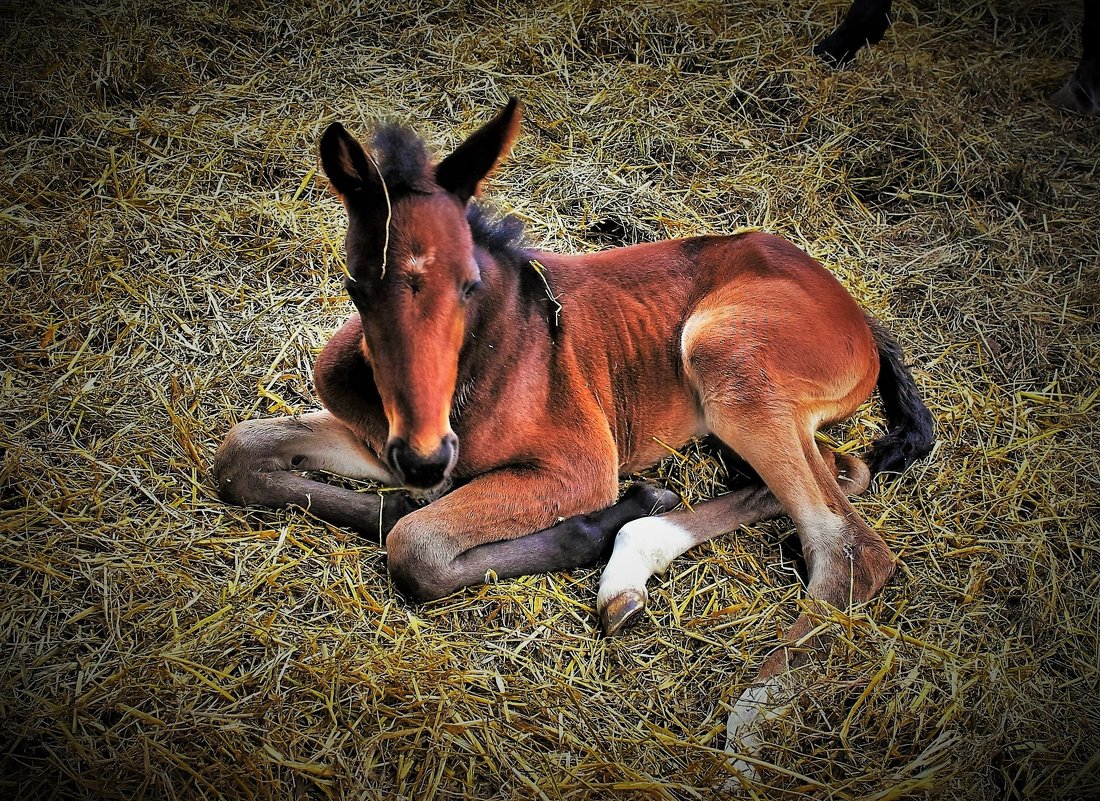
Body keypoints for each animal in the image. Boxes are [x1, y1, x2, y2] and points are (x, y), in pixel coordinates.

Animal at [216, 103, 937, 765]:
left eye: (469, 283)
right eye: (355, 284)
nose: (425, 459)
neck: (489, 354)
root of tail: (857, 310)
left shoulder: (582, 465)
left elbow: (417, 546)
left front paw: (588, 526)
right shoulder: (383, 441)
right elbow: (240, 453)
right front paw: (398, 501)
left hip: (726, 356)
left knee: (848, 545)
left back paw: (748, 731)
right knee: (842, 470)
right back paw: (632, 566)